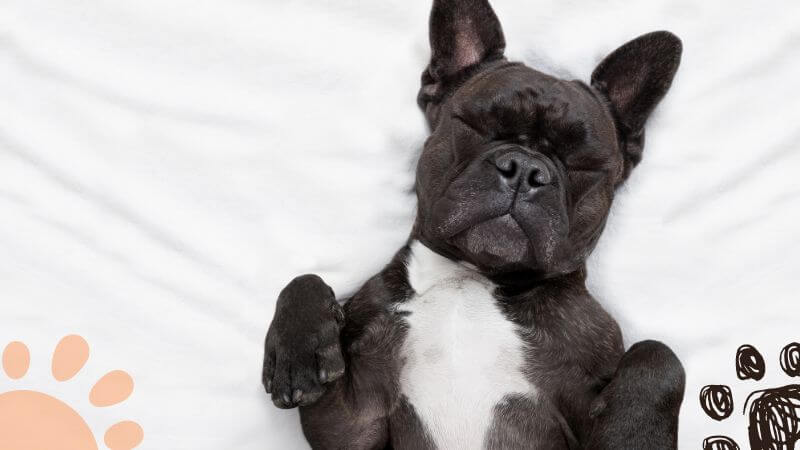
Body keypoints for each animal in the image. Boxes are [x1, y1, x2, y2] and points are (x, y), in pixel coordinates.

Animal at [264, 0, 688, 446]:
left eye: (584, 162)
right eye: (475, 125)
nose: (525, 169)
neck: (471, 277)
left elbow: (660, 353)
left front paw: (633, 435)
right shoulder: (355, 423)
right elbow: (305, 279)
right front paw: (299, 352)